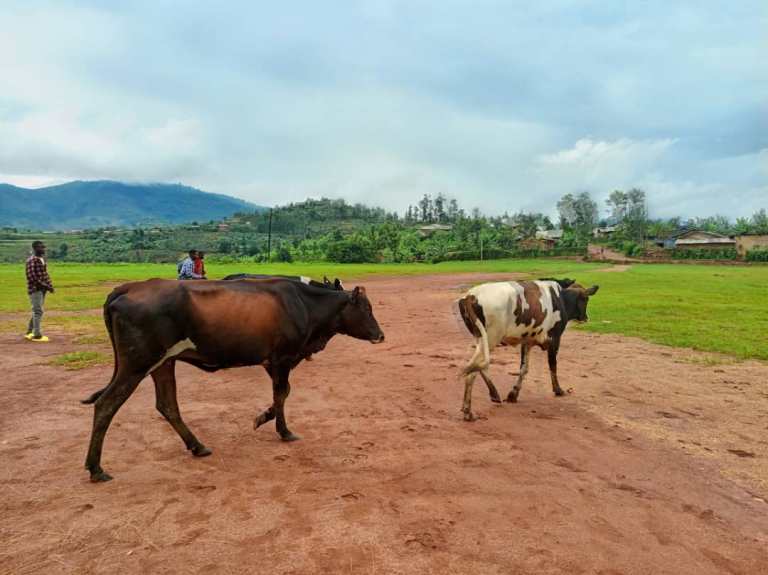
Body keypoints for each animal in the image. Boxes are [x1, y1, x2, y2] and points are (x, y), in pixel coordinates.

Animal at [84, 278, 384, 482]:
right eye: (367, 309)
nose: (380, 335)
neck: (305, 304)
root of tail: (127, 288)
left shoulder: (272, 361)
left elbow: (282, 394)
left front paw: (264, 418)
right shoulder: (282, 358)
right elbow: (282, 393)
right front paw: (282, 430)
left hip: (163, 362)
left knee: (167, 405)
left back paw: (197, 446)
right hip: (137, 364)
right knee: (106, 404)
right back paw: (96, 468)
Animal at [456, 280, 600, 420]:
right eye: (586, 299)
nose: (586, 317)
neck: (561, 299)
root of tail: (470, 296)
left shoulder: (527, 342)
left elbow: (524, 369)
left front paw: (513, 394)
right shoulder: (555, 339)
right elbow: (553, 366)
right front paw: (558, 390)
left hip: (482, 338)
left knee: (478, 366)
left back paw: (492, 395)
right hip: (491, 337)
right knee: (474, 371)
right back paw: (468, 411)